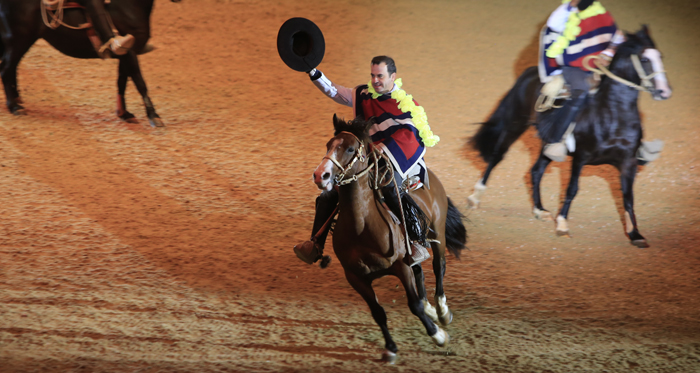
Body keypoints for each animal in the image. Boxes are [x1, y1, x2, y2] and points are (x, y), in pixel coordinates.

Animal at [0, 0, 180, 126]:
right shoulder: (130, 52)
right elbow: (139, 81)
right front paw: (154, 117)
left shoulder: (125, 55)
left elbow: (122, 81)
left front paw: (124, 113)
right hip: (19, 38)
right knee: (6, 68)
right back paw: (14, 106)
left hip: (21, 40)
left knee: (11, 67)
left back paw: (17, 100)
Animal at [314, 115, 468, 362]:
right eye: (328, 145)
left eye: (349, 148)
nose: (321, 175)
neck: (361, 227)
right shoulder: (356, 277)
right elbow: (378, 312)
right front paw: (390, 348)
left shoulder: (400, 266)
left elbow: (413, 305)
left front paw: (438, 336)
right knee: (420, 272)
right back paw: (431, 308)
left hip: (438, 231)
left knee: (439, 266)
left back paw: (442, 311)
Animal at [468, 26, 668, 247]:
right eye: (645, 59)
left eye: (660, 57)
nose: (664, 91)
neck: (612, 115)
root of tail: (529, 72)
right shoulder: (580, 158)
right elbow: (572, 189)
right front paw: (562, 225)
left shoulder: (628, 163)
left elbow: (628, 196)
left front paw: (636, 235)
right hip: (515, 124)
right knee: (496, 157)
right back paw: (475, 198)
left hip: (547, 144)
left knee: (535, 171)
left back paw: (540, 210)